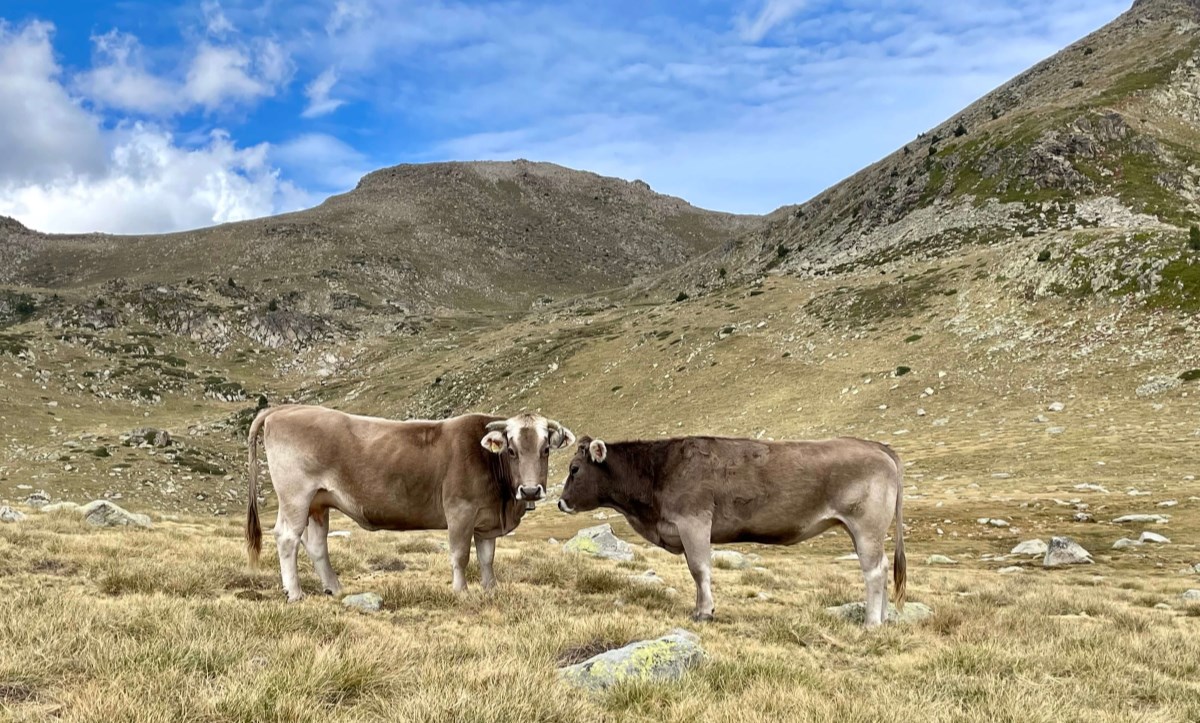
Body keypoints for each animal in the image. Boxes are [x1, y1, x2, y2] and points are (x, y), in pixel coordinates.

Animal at [246, 403, 573, 600]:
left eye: (545, 449)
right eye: (512, 450)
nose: (529, 491)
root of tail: (285, 409)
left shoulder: (485, 519)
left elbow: (487, 557)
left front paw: (490, 589)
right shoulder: (460, 510)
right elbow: (460, 555)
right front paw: (461, 591)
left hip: (318, 502)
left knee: (315, 544)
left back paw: (335, 589)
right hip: (296, 496)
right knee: (287, 538)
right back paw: (295, 593)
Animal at [556, 432, 902, 624]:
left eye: (574, 469)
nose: (560, 502)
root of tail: (876, 446)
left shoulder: (694, 521)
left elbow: (699, 570)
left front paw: (705, 612)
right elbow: (696, 573)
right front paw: (699, 608)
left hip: (866, 525)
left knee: (874, 571)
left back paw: (872, 621)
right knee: (884, 567)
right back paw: (884, 618)